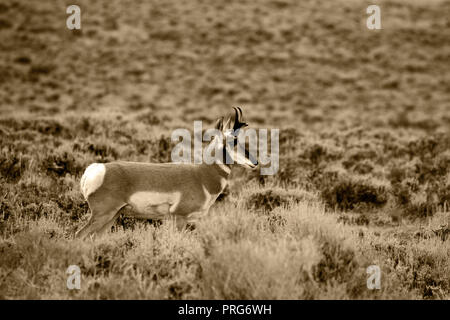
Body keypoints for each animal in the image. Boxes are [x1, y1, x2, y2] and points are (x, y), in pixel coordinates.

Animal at [75, 107, 255, 238]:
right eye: (233, 140)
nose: (255, 162)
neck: (202, 175)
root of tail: (94, 169)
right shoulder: (179, 218)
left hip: (111, 216)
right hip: (103, 215)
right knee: (79, 235)